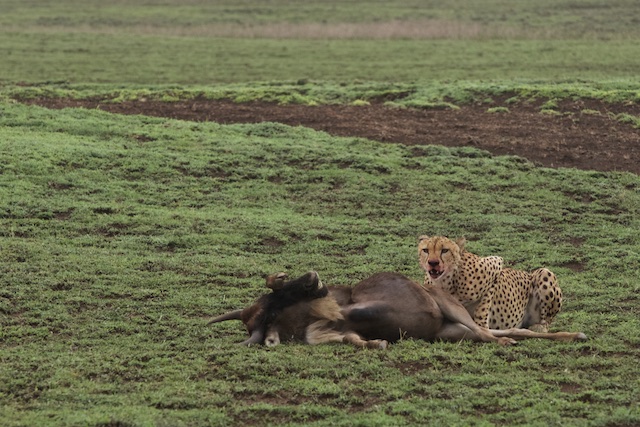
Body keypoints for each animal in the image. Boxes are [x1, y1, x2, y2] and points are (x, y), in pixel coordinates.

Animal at [420, 236, 564, 332]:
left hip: (544, 272)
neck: (445, 281)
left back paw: (539, 327)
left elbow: (482, 307)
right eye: (426, 250)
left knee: (547, 321)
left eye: (445, 250)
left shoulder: (495, 265)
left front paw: (481, 326)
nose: (433, 263)